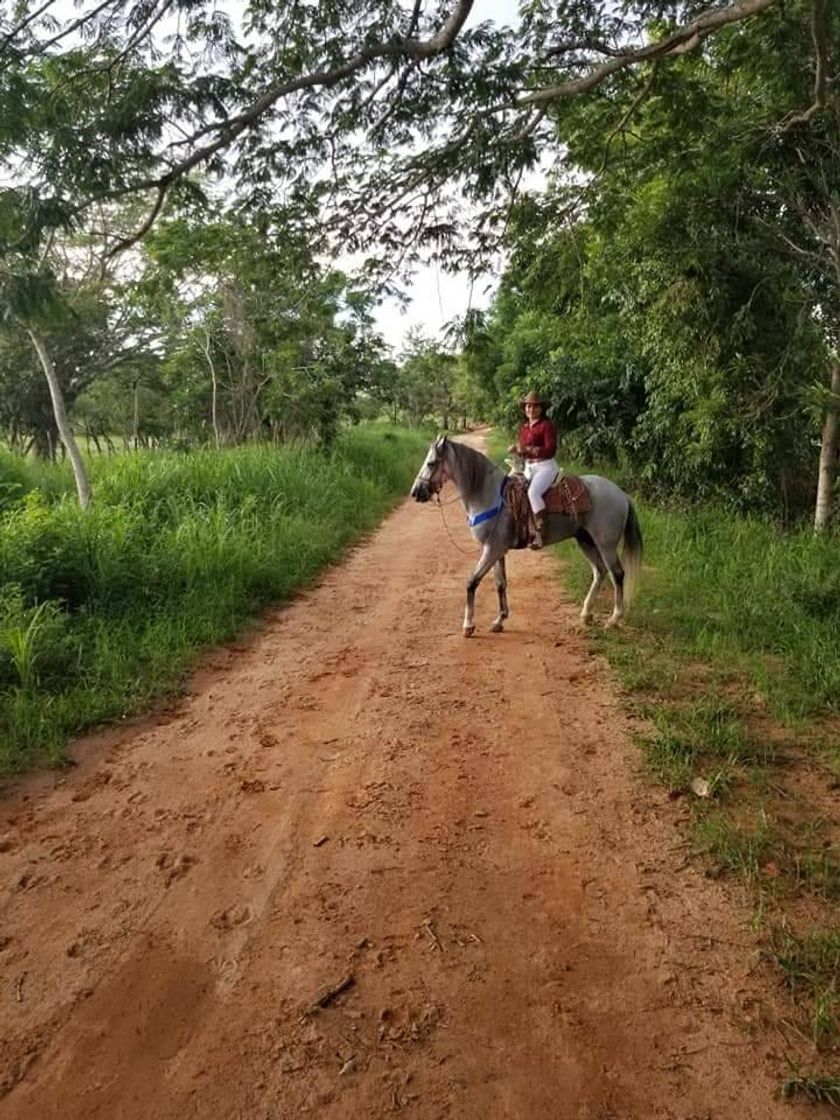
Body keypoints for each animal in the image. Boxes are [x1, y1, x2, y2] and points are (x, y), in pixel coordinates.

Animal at [412, 432, 645, 636]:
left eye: (431, 463)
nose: (416, 492)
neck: (489, 494)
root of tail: (621, 494)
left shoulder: (492, 549)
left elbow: (472, 582)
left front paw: (468, 625)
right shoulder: (497, 551)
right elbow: (500, 584)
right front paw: (499, 621)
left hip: (606, 544)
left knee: (617, 574)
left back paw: (614, 619)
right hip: (585, 540)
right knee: (599, 572)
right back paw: (586, 614)